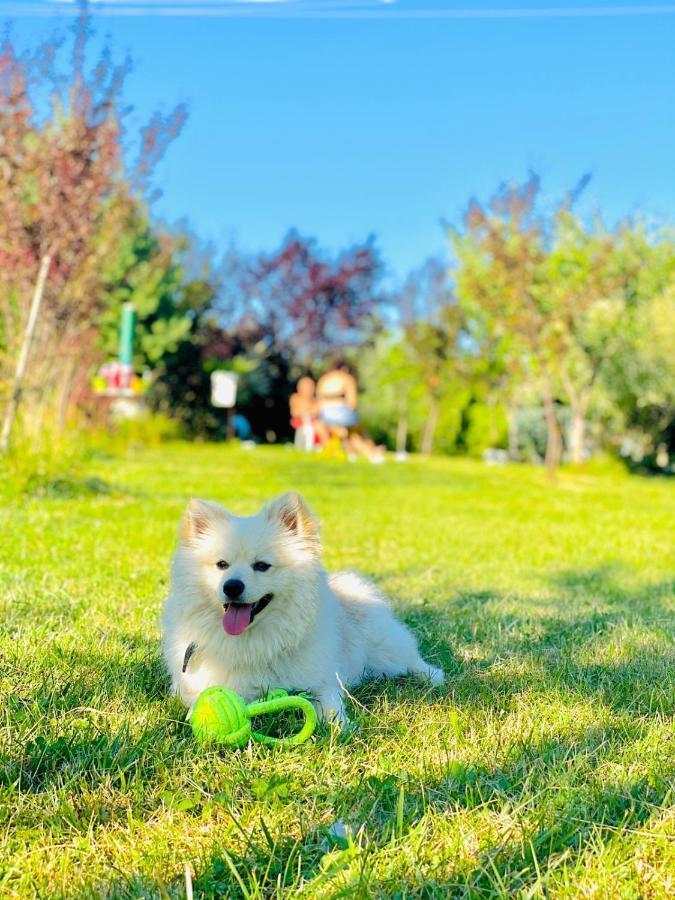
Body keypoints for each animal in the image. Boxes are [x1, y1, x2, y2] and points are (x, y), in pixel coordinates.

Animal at [162, 492, 446, 724]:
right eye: (222, 565)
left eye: (262, 566)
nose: (232, 586)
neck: (255, 642)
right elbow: (197, 699)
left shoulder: (322, 679)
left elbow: (329, 704)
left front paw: (338, 727)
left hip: (387, 652)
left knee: (412, 661)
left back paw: (433, 676)